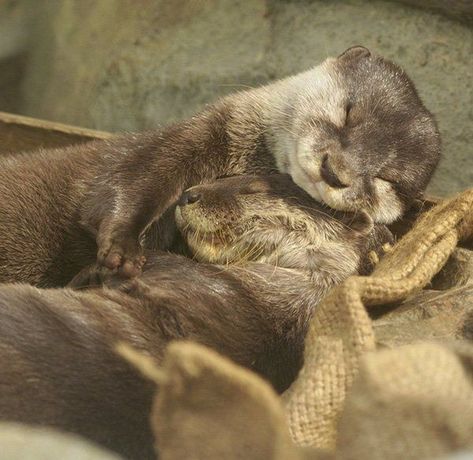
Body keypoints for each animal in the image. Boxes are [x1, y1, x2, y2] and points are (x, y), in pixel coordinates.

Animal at [0, 46, 438, 284]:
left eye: (386, 179)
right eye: (349, 112)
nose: (335, 170)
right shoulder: (184, 141)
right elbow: (131, 183)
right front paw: (123, 248)